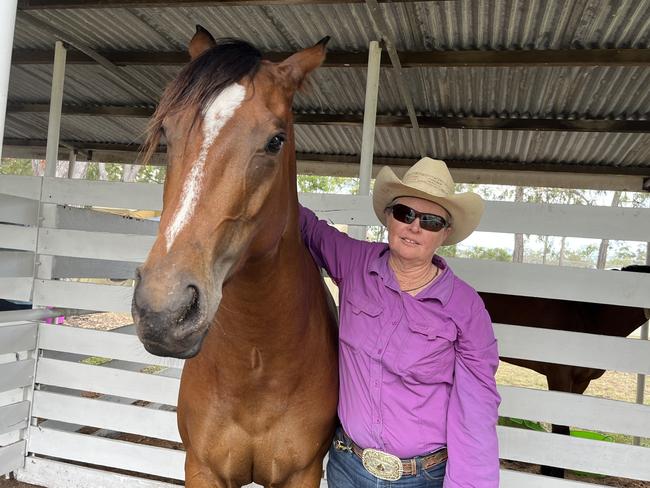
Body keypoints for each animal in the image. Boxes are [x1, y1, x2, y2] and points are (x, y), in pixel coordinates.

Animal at [130, 27, 336, 488]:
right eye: (168, 132)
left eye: (276, 140)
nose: (163, 310)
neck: (256, 364)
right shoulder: (203, 467)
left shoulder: (302, 473)